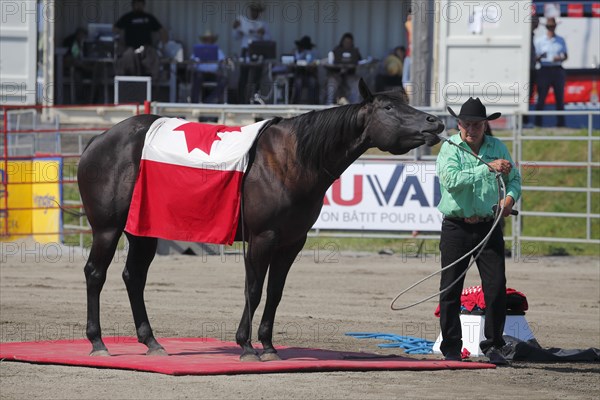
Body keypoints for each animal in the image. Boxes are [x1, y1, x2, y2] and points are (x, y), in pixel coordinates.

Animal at [76, 79, 446, 360]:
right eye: (388, 109)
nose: (435, 123)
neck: (289, 160)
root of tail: (99, 140)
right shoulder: (262, 239)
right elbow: (253, 290)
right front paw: (246, 345)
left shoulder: (291, 243)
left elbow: (275, 292)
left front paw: (267, 345)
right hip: (107, 229)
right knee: (95, 274)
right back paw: (98, 342)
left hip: (143, 231)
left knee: (133, 278)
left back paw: (151, 341)